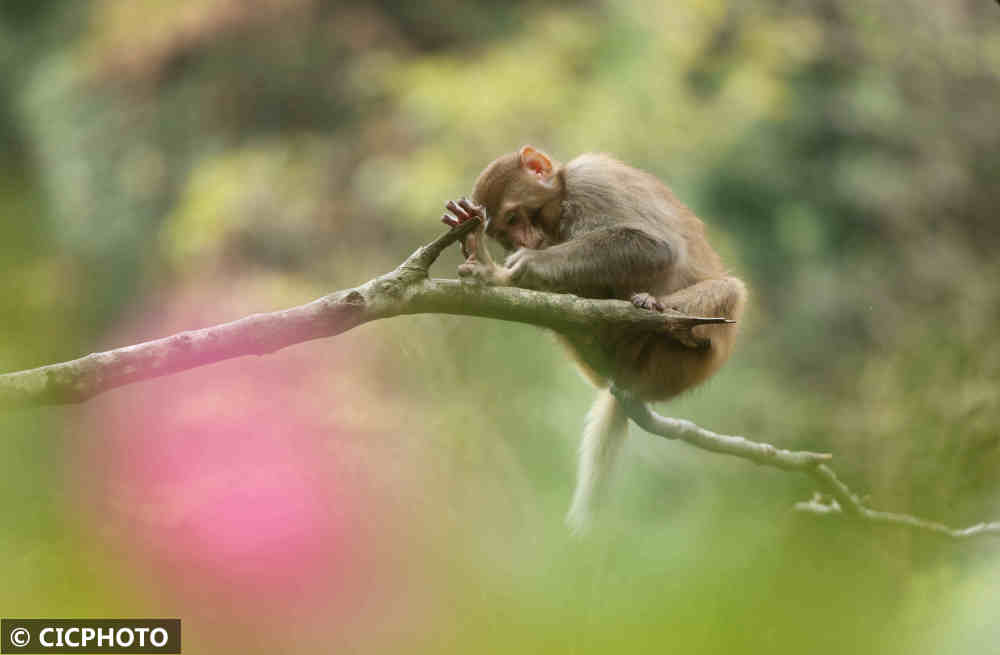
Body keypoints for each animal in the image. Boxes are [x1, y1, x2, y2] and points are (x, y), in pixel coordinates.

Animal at [442, 145, 748, 532]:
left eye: (514, 218)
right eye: (505, 232)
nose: (523, 242)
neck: (563, 200)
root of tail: (629, 381)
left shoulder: (592, 182)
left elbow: (655, 245)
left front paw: (530, 262)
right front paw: (502, 266)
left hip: (685, 364)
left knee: (730, 289)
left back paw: (668, 319)